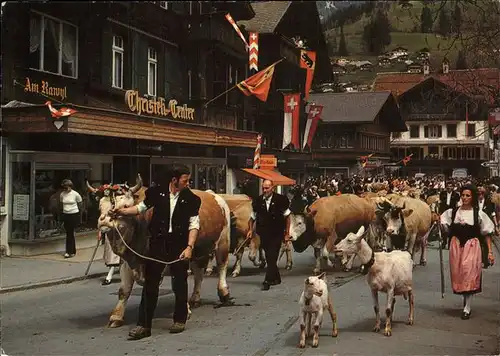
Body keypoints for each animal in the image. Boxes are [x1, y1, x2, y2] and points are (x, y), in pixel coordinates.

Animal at [93, 175, 232, 328]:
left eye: (125, 207)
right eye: (100, 207)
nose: (103, 221)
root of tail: (214, 195)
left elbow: (177, 285)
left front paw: (185, 312)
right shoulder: (127, 260)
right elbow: (124, 290)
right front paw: (116, 316)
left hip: (223, 242)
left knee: (222, 265)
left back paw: (224, 292)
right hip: (197, 251)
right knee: (198, 273)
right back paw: (195, 298)